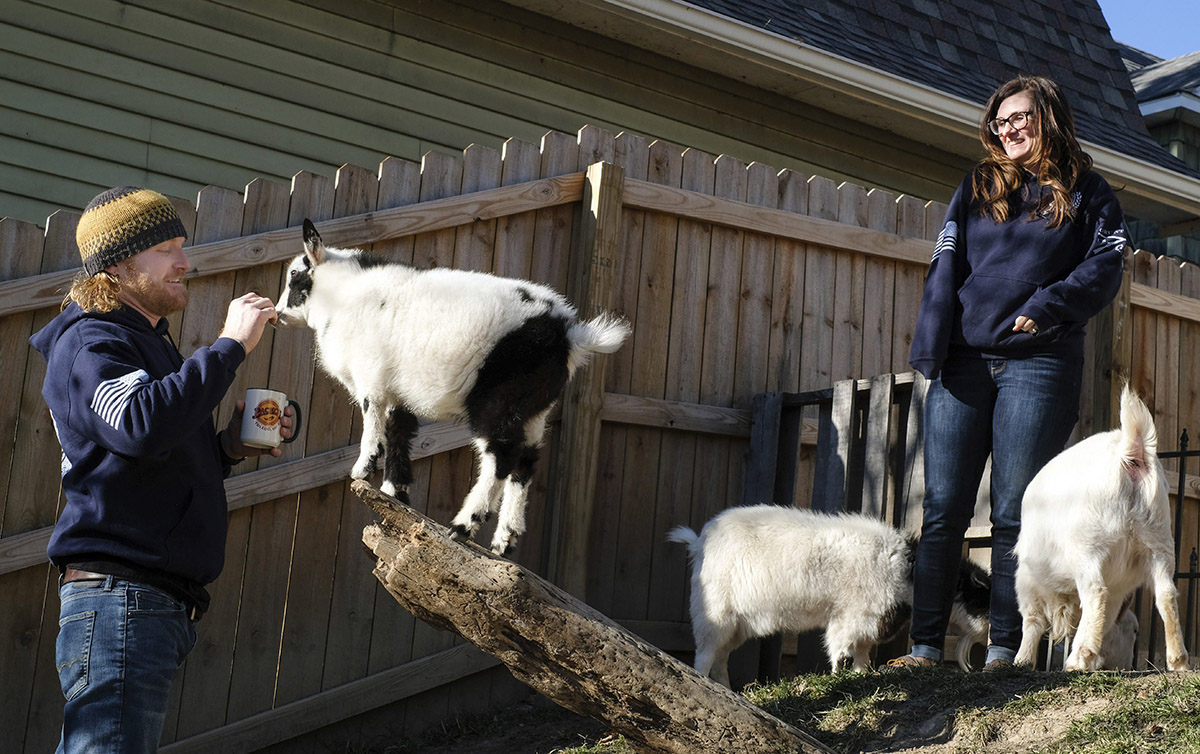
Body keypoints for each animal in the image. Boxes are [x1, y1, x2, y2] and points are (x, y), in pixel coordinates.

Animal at [277, 218, 633, 554]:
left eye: (296, 276)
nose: (278, 314)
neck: (342, 296)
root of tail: (568, 334)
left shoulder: (371, 380)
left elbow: (374, 425)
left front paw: (363, 470)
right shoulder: (396, 391)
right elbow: (398, 431)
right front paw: (395, 493)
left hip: (498, 401)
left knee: (502, 456)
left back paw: (463, 525)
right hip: (533, 408)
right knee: (526, 462)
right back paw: (504, 540)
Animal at [667, 504, 993, 686]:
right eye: (981, 598)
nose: (987, 633)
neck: (906, 569)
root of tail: (699, 541)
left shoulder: (865, 622)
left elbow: (861, 653)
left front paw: (861, 676)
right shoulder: (852, 616)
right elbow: (841, 649)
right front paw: (840, 678)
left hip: (736, 624)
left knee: (720, 658)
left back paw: (726, 689)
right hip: (714, 613)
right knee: (705, 655)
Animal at [1012, 389, 1190, 672]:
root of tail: (1132, 452)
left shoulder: (1027, 580)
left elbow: (1032, 621)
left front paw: (1022, 661)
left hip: (1089, 542)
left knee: (1096, 592)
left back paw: (1077, 659)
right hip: (1159, 540)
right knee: (1166, 594)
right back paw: (1178, 660)